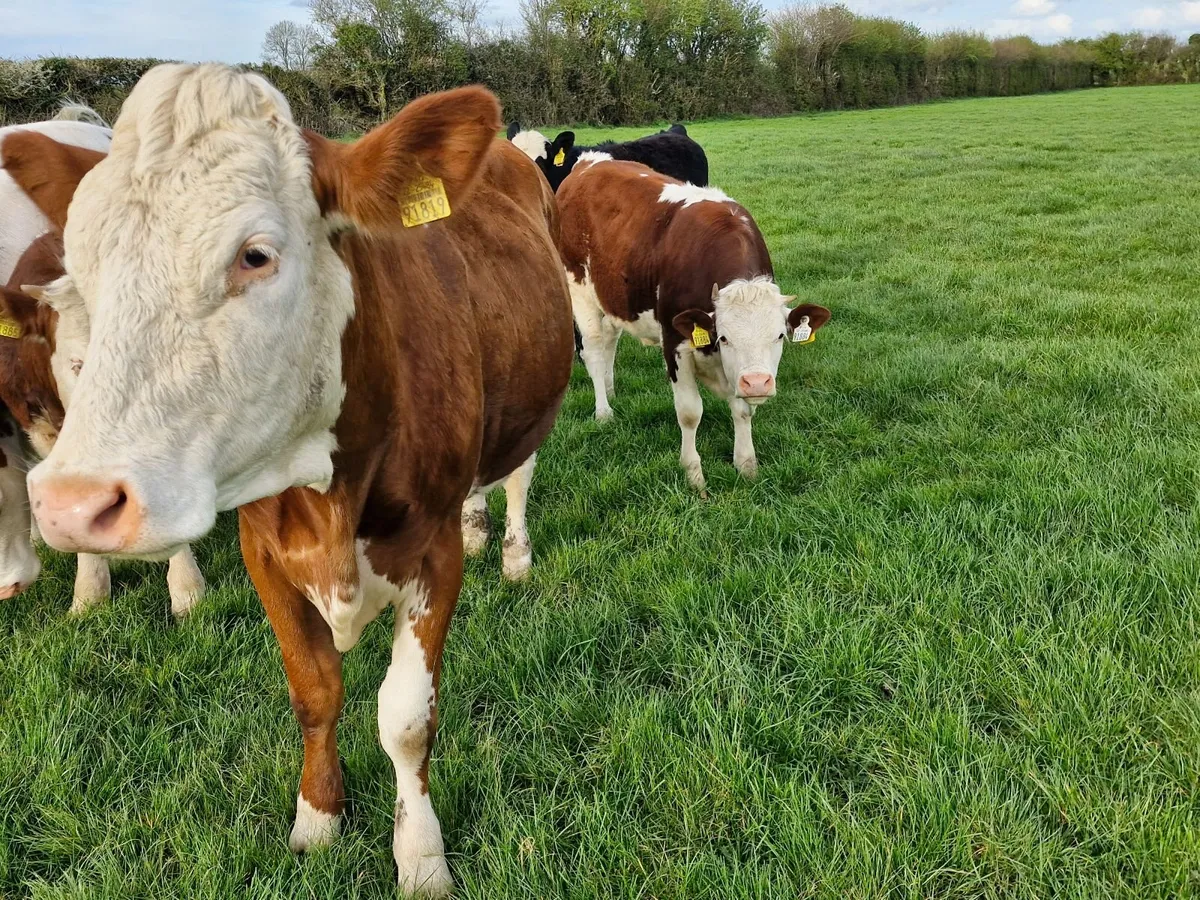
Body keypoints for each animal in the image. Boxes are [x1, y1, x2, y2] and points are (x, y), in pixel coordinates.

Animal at [23, 64, 573, 894]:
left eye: (254, 256)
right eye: (80, 271)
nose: (70, 503)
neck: (328, 491)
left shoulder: (431, 554)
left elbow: (406, 719)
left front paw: (421, 857)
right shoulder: (262, 550)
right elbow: (314, 691)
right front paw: (317, 818)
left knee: (516, 474)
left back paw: (510, 551)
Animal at [556, 157, 830, 491]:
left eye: (780, 336)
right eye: (724, 338)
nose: (757, 383)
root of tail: (589, 162)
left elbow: (742, 410)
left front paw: (746, 464)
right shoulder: (675, 342)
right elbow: (689, 413)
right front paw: (693, 474)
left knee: (611, 341)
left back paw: (610, 391)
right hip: (579, 290)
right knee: (594, 351)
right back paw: (603, 411)